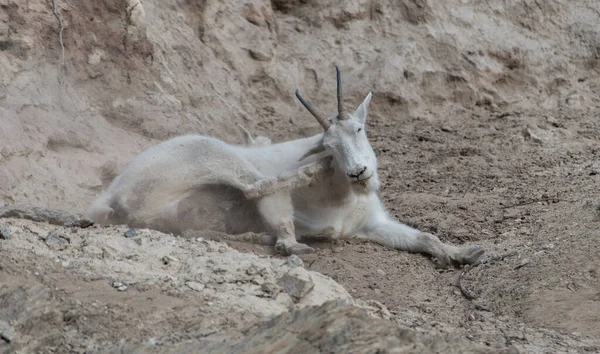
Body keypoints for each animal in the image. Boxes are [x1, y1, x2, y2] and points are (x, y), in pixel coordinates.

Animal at [88, 67, 482, 266]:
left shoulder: (372, 225)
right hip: (211, 153)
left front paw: (465, 253)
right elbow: (283, 215)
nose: (359, 173)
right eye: (328, 147)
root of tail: (110, 195)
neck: (345, 195)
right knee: (256, 185)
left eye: (358, 129)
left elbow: (423, 237)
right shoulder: (299, 212)